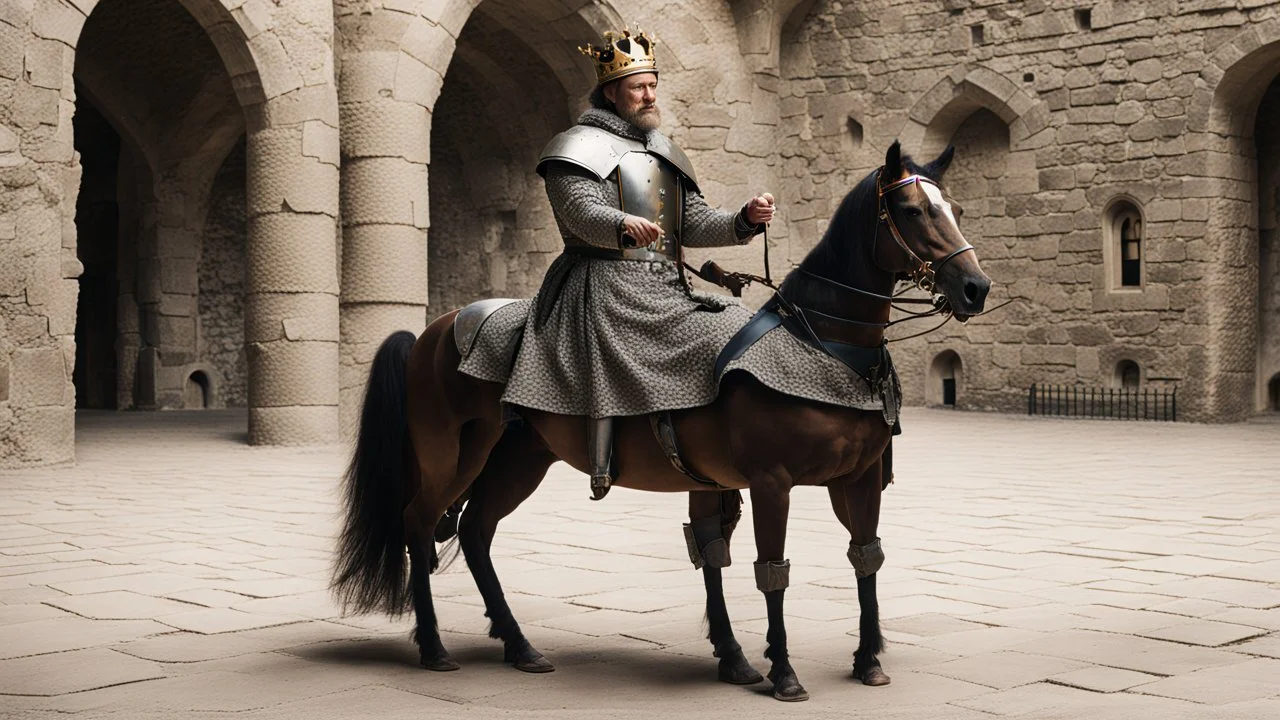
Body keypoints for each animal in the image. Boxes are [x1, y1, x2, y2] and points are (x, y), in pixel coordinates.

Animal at [330, 139, 988, 696]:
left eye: (954, 207)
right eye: (911, 210)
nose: (975, 287)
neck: (821, 342)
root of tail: (436, 328)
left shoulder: (860, 478)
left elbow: (862, 557)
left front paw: (864, 659)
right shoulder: (772, 482)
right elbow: (770, 569)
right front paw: (782, 671)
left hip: (520, 458)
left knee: (474, 531)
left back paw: (519, 646)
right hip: (451, 451)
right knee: (420, 523)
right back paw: (434, 647)